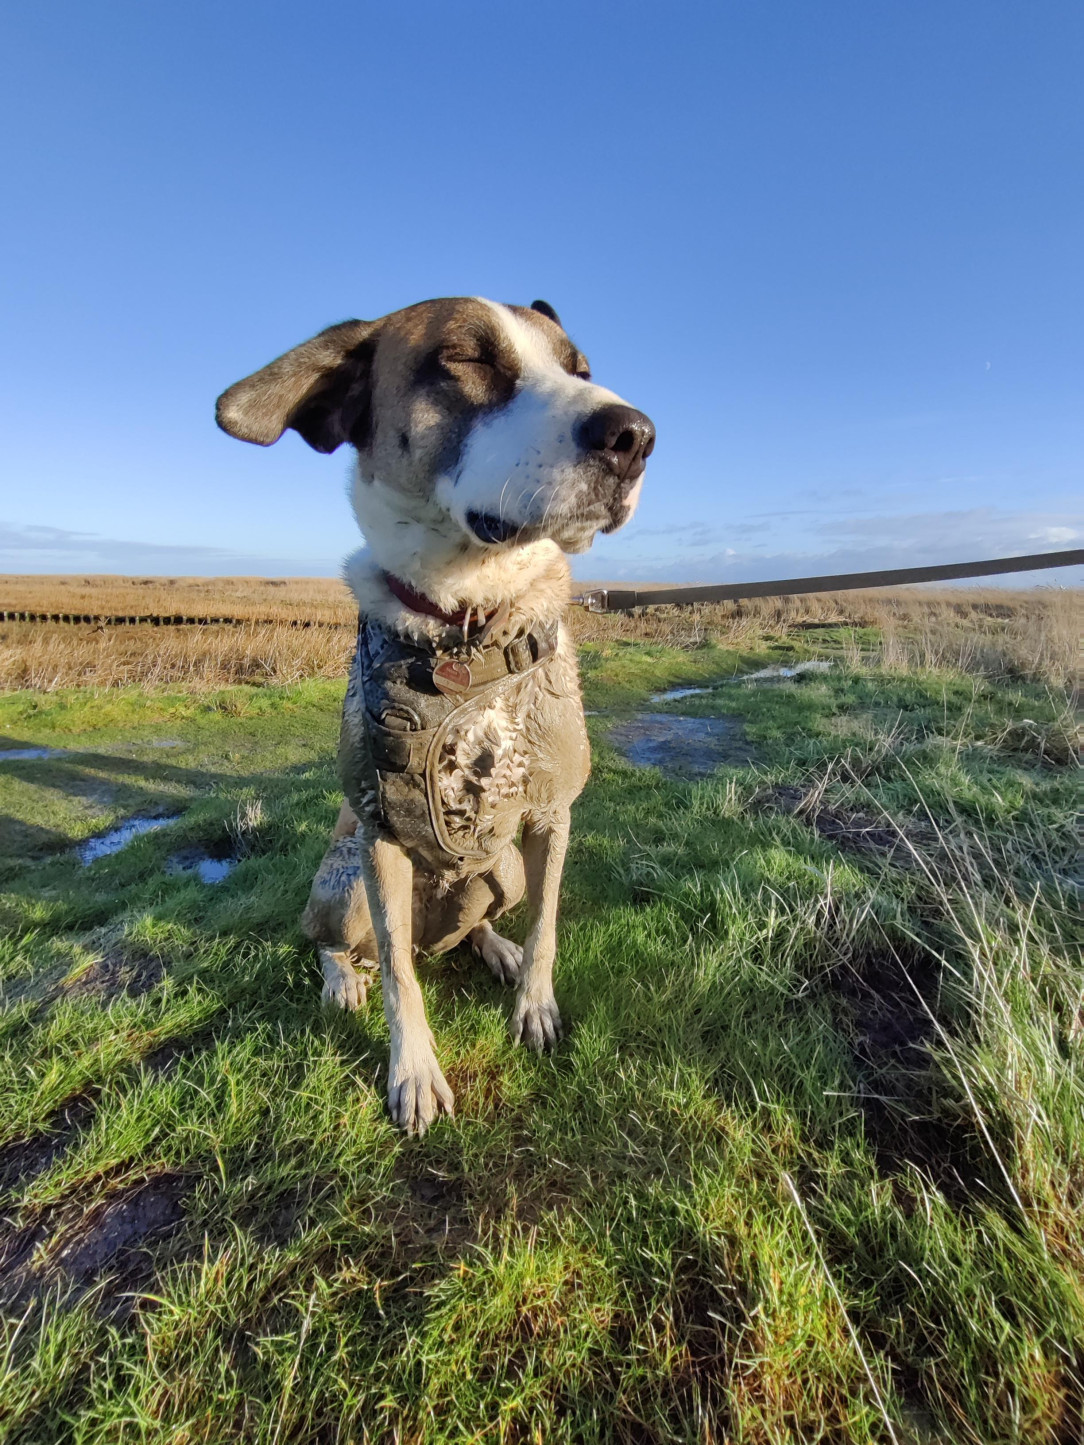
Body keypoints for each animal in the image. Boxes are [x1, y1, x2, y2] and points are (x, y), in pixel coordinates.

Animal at [213, 296, 653, 1127]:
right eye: (467, 359)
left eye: (580, 368)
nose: (635, 435)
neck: (468, 625)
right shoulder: (380, 838)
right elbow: (398, 978)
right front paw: (413, 1072)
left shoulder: (551, 816)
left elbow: (547, 926)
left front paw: (532, 1002)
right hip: (348, 879)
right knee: (349, 945)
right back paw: (341, 980)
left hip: (502, 867)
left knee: (476, 924)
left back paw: (493, 948)